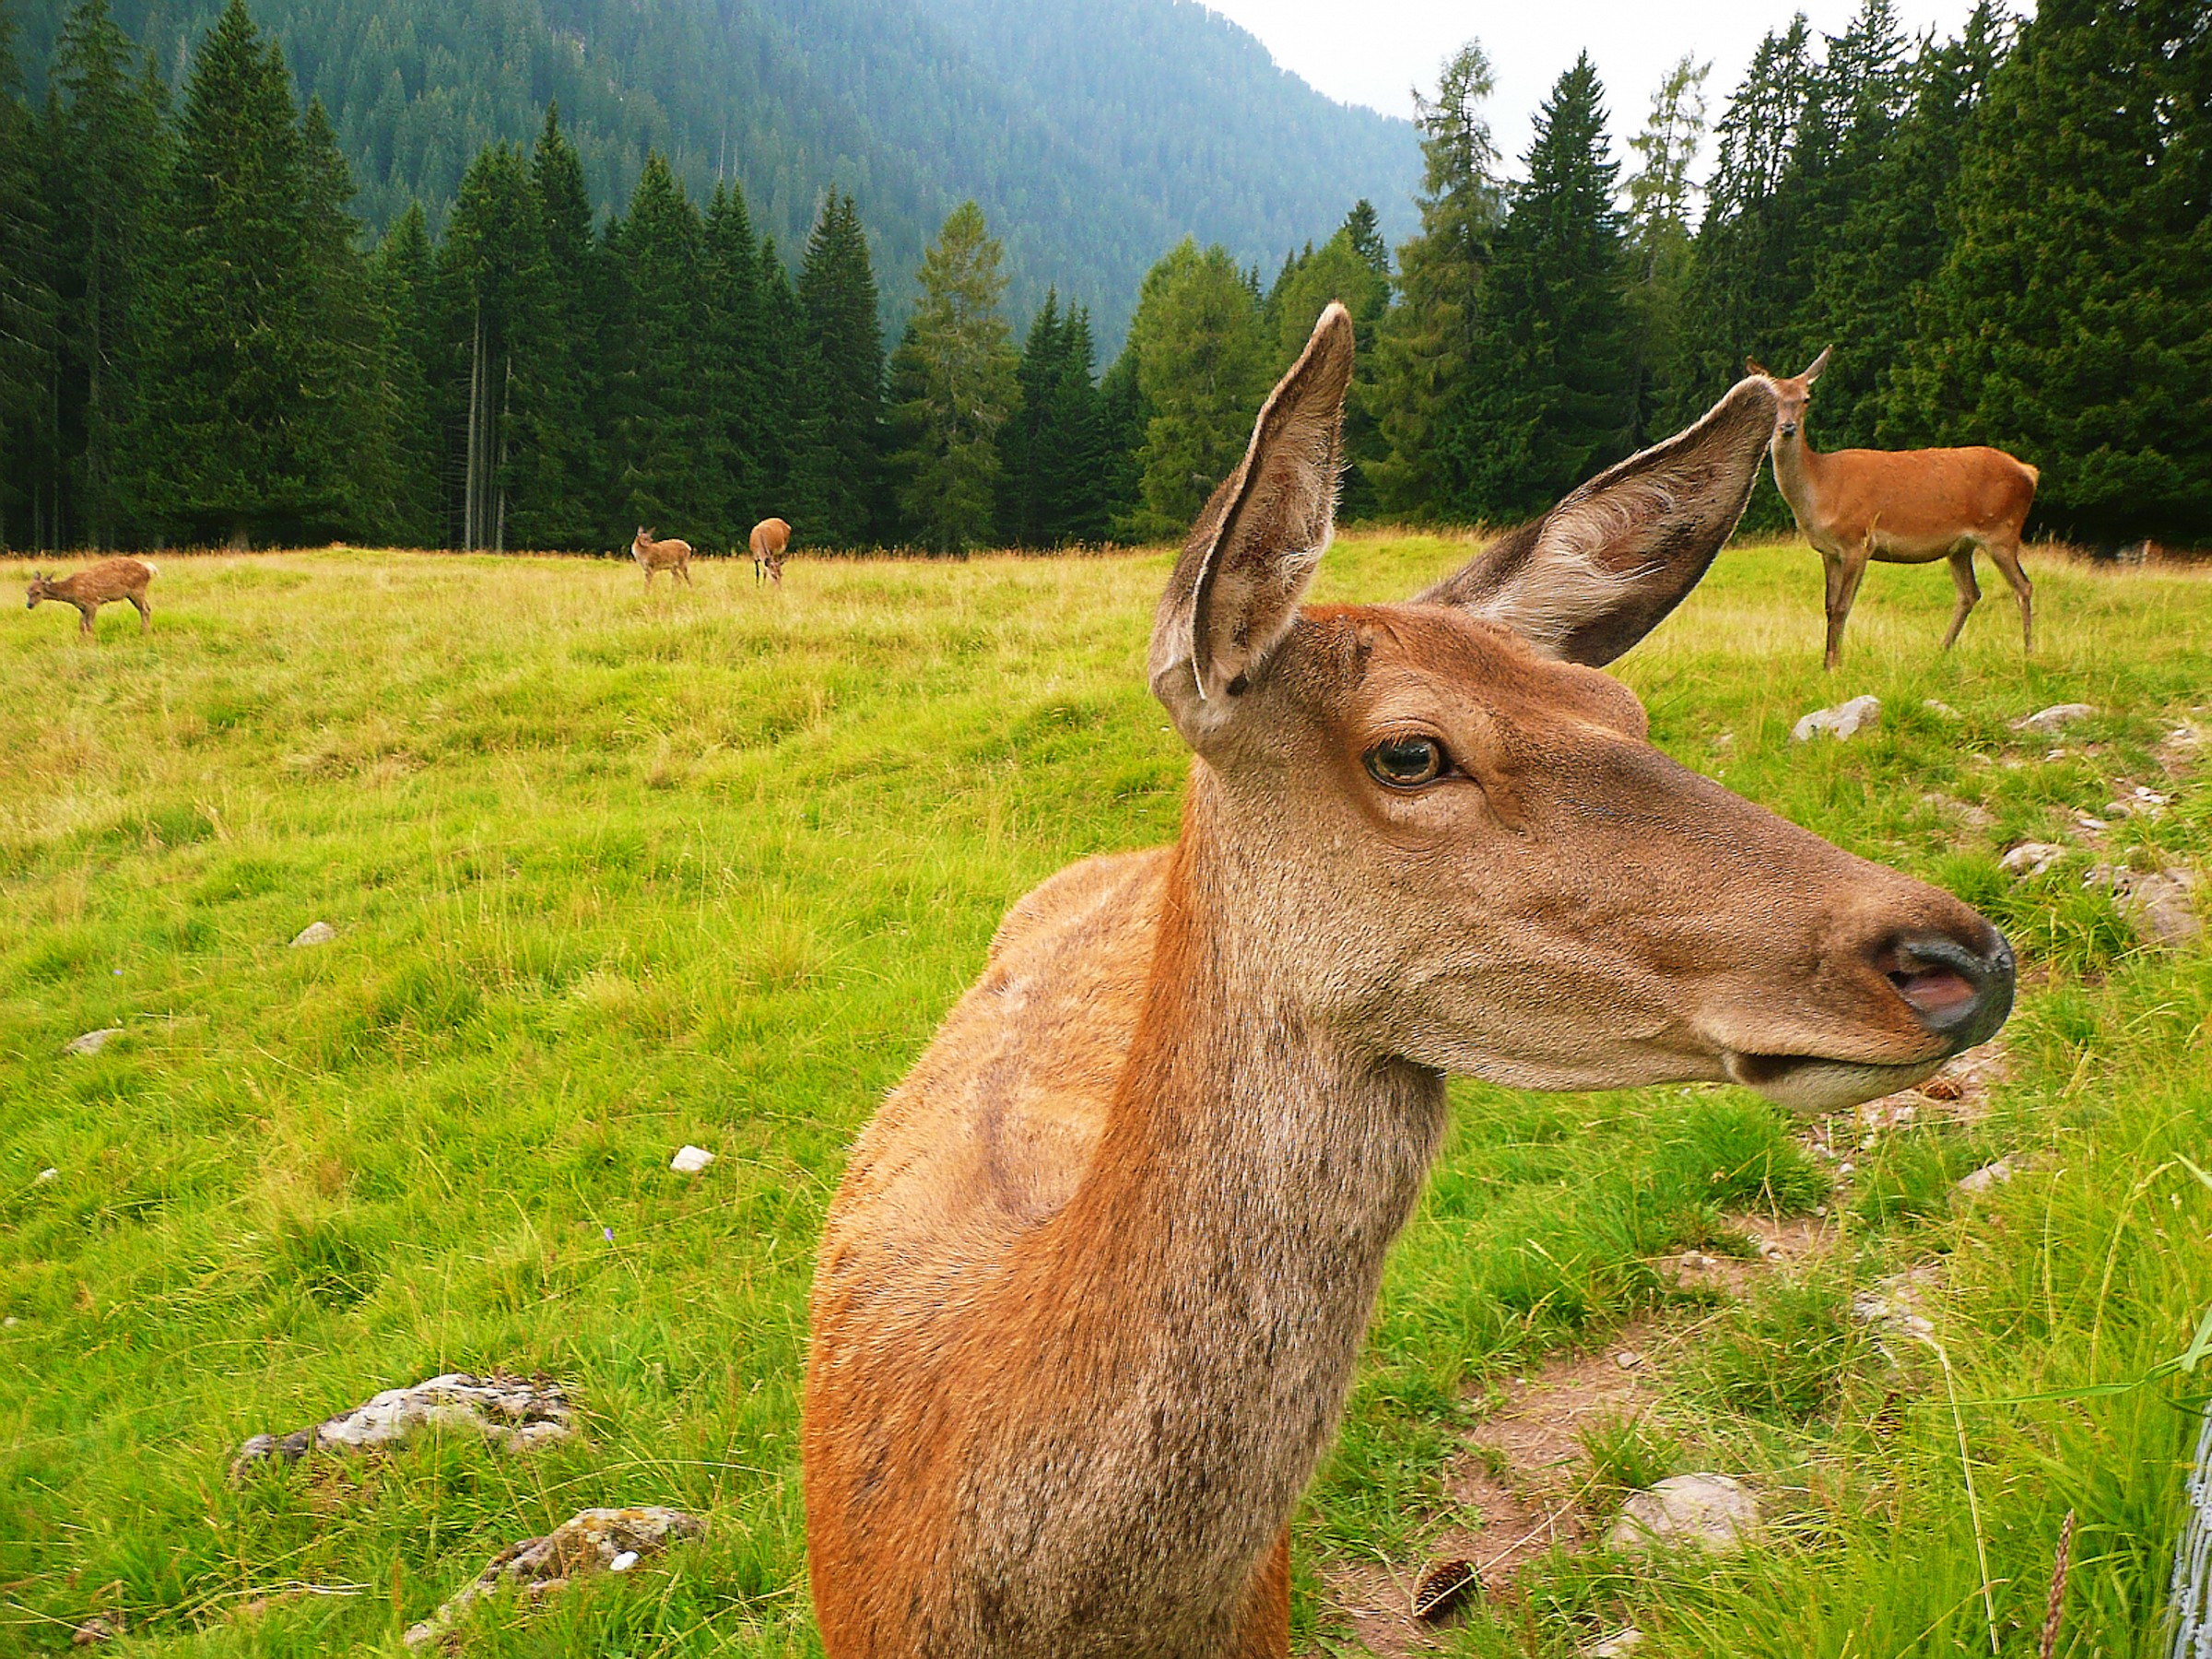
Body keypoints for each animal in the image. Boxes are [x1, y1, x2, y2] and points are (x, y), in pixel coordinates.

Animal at [25, 557, 158, 638]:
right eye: (27, 591)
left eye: (38, 592)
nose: (29, 605)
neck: (72, 590)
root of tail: (148, 568)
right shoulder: (82, 607)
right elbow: (81, 625)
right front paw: (81, 641)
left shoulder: (93, 602)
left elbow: (89, 625)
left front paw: (90, 642)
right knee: (146, 608)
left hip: (137, 590)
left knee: (145, 610)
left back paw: (144, 633)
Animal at [1749, 348, 2039, 671]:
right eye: (1773, 399)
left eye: (1806, 398)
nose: (1787, 427)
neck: (1820, 489)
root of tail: (2029, 472)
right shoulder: (1827, 550)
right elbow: (1828, 606)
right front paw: (1826, 663)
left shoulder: (1858, 541)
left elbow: (1842, 606)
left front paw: (1836, 665)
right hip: (1961, 546)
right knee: (1969, 593)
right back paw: (1942, 650)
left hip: (2002, 530)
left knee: (2023, 586)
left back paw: (2028, 652)